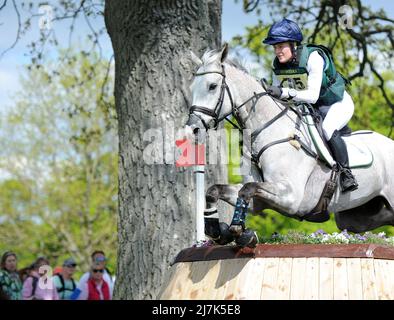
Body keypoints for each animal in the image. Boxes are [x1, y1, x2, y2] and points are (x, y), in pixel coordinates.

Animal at [185, 43, 394, 246]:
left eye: (212, 86)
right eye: (192, 87)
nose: (193, 128)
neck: (269, 130)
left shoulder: (292, 198)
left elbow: (247, 190)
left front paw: (238, 230)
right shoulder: (259, 201)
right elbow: (215, 191)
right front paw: (216, 229)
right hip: (356, 216)